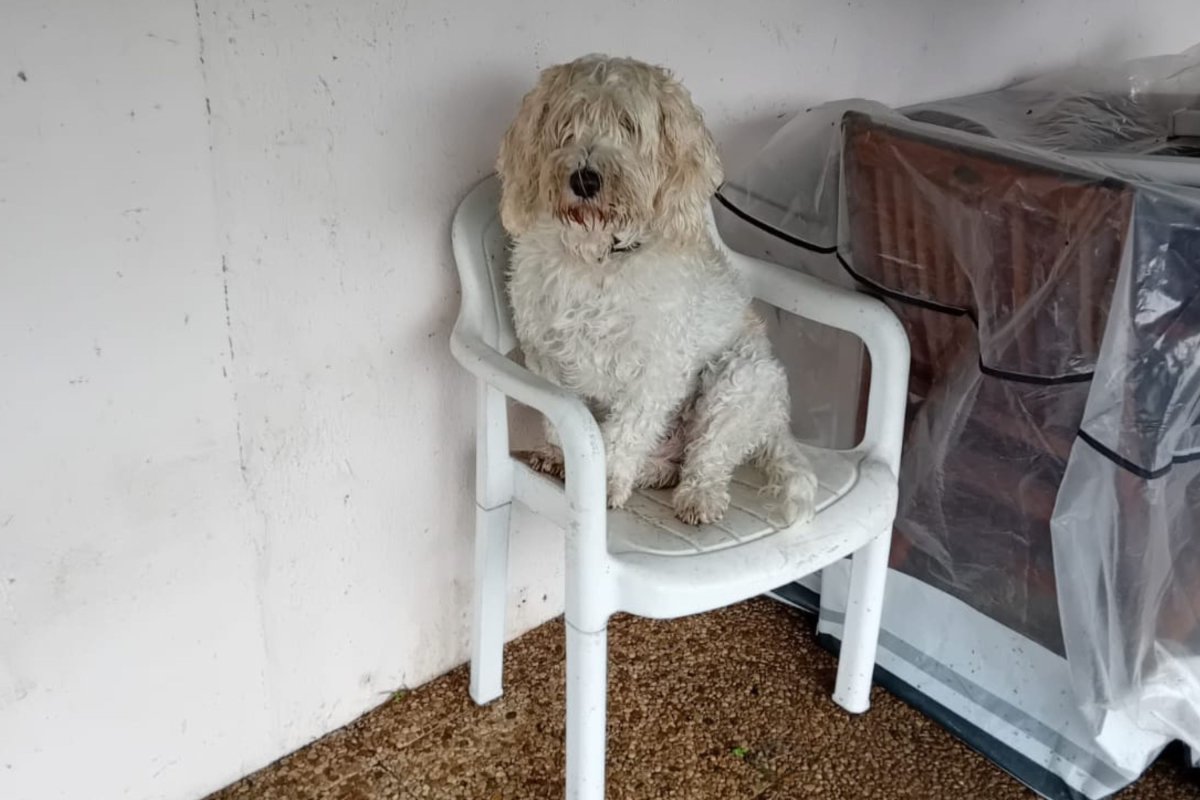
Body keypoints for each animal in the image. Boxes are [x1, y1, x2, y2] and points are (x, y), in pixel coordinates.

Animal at [494, 56, 816, 527]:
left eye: (629, 126)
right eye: (568, 122)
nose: (585, 179)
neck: (599, 261)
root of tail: (776, 424)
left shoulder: (656, 373)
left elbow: (626, 432)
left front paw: (607, 481)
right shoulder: (545, 357)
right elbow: (562, 423)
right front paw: (561, 457)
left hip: (742, 379)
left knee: (709, 456)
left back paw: (699, 496)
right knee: (670, 463)